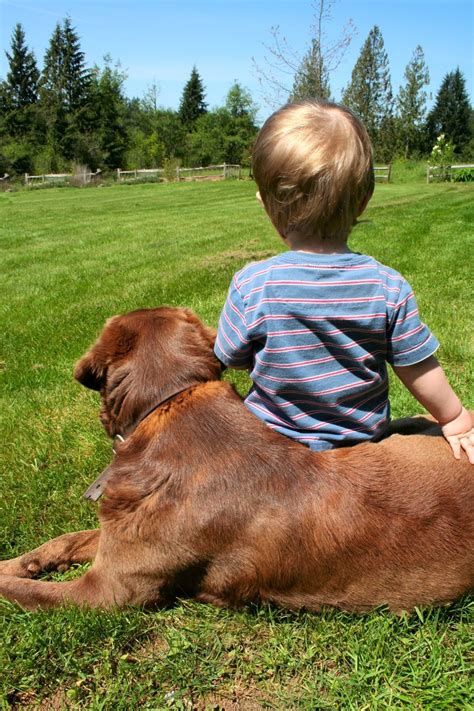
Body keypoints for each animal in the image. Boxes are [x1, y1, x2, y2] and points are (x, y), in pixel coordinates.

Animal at [0, 306, 474, 612]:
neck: (169, 405)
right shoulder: (120, 539)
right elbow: (66, 539)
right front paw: (21, 562)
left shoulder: (109, 589)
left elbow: (30, 592)